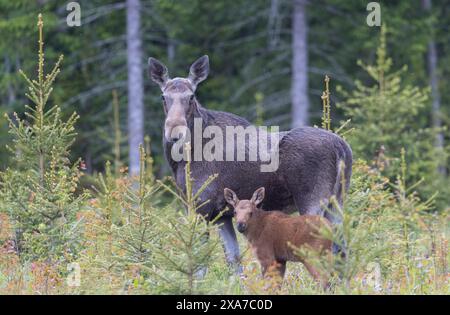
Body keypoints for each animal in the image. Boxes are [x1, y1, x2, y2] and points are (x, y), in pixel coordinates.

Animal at [148, 55, 352, 272]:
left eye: (192, 96)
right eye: (163, 97)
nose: (174, 131)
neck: (181, 160)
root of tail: (342, 148)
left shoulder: (200, 205)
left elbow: (200, 264)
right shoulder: (223, 215)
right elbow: (234, 261)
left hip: (313, 200)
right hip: (337, 201)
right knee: (342, 250)